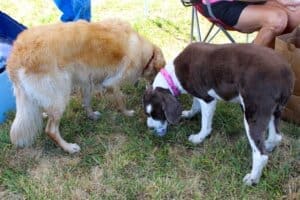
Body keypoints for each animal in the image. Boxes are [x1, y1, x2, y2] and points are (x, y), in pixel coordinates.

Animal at [7, 18, 165, 153]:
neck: (143, 51)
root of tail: (15, 56)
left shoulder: (87, 81)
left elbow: (87, 102)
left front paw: (91, 115)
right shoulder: (112, 82)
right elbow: (120, 100)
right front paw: (127, 113)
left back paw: (45, 114)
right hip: (60, 94)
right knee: (51, 130)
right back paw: (69, 148)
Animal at [144, 42, 294, 186]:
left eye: (156, 114)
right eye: (148, 114)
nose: (150, 128)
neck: (173, 75)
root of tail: (287, 74)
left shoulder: (208, 99)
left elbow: (205, 125)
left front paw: (198, 138)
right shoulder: (198, 94)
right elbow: (195, 104)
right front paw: (189, 114)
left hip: (253, 113)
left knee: (261, 155)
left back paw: (252, 179)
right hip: (274, 111)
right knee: (276, 137)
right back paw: (268, 145)